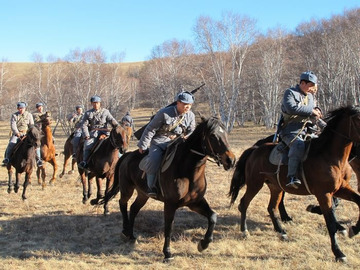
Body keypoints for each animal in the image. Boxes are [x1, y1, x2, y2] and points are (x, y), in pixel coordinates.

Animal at [98, 116, 238, 262]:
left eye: (226, 133)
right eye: (212, 136)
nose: (231, 160)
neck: (187, 171)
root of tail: (128, 155)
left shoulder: (195, 202)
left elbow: (213, 216)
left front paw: (204, 244)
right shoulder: (170, 204)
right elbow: (169, 227)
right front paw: (167, 253)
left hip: (143, 194)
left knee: (134, 208)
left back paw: (131, 235)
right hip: (127, 189)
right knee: (123, 204)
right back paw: (125, 230)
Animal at [229, 105, 360, 262]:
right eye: (358, 118)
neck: (328, 155)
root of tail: (255, 150)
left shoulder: (340, 189)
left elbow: (358, 201)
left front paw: (354, 229)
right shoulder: (324, 194)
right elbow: (330, 222)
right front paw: (339, 253)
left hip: (276, 187)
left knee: (272, 207)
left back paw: (281, 231)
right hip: (255, 184)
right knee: (244, 203)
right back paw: (245, 231)